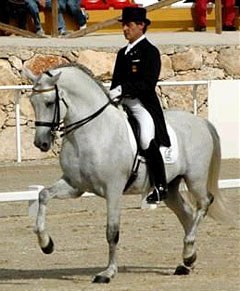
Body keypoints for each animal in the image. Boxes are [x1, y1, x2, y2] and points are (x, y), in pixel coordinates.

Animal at [25, 64, 232, 286]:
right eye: (32, 101)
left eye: (49, 103)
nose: (41, 143)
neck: (92, 132)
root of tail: (201, 122)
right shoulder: (75, 186)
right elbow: (43, 195)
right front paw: (46, 244)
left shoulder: (113, 190)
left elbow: (112, 232)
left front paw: (107, 273)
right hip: (170, 187)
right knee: (187, 214)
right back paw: (187, 261)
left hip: (195, 178)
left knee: (204, 203)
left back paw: (188, 252)